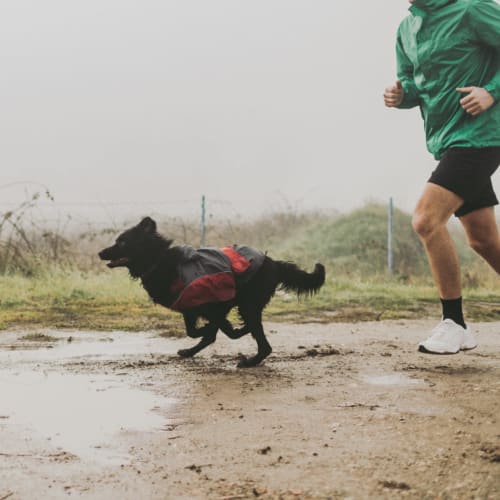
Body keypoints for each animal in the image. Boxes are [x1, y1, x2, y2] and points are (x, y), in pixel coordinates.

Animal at [98, 218, 324, 368]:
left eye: (122, 242)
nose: (100, 252)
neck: (159, 260)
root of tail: (274, 263)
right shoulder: (190, 307)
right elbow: (196, 331)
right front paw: (207, 333)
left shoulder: (215, 303)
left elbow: (221, 330)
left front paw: (227, 330)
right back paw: (190, 351)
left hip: (248, 305)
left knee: (263, 343)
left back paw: (250, 361)